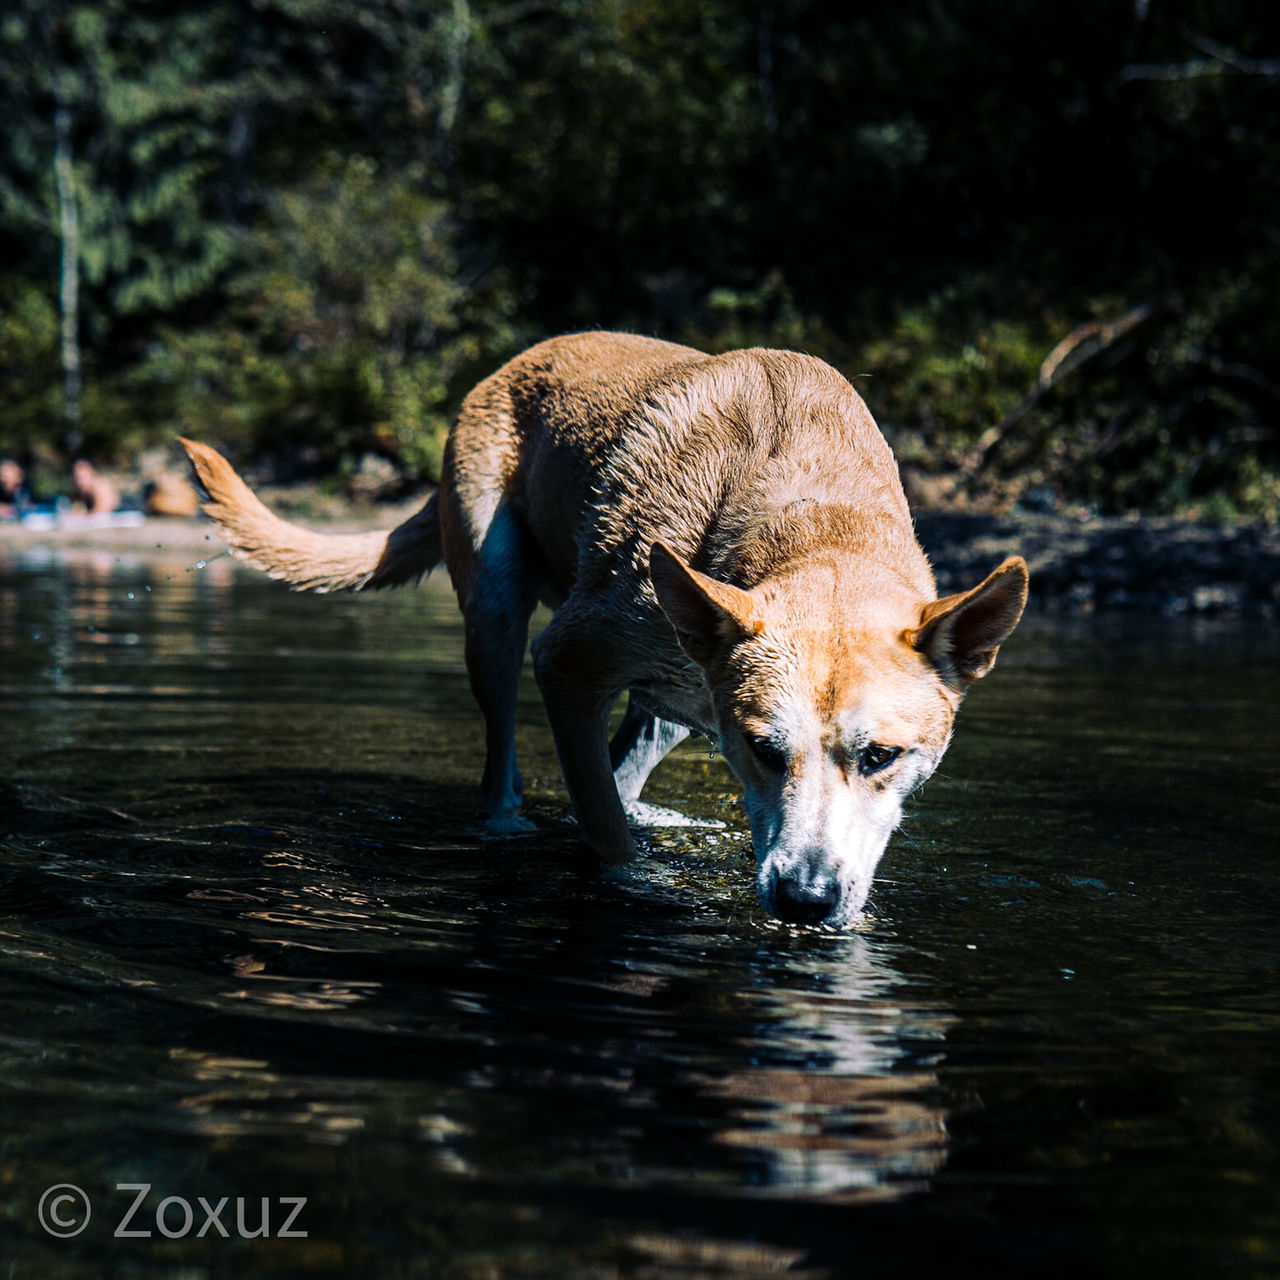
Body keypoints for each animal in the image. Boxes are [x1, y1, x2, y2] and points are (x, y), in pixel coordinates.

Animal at [180, 335, 1024, 926]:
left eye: (881, 756)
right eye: (763, 749)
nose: (804, 901)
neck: (815, 519)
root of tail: (506, 367)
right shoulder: (567, 663)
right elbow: (606, 836)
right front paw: (636, 883)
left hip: (673, 707)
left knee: (627, 760)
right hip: (496, 615)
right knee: (504, 770)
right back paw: (510, 819)